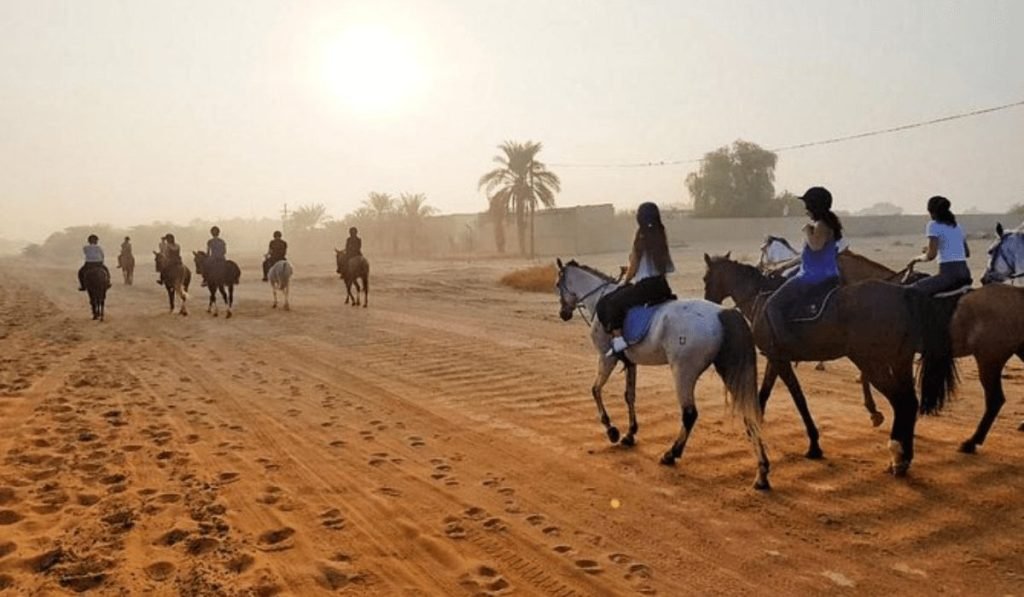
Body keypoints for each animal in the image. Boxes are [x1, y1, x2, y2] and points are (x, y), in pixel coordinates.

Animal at [552, 259, 770, 487]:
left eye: (558, 284)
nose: (563, 314)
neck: (599, 297)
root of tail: (724, 313)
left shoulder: (606, 358)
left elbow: (595, 390)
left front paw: (612, 430)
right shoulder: (630, 363)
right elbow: (629, 396)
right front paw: (630, 433)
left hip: (683, 372)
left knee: (690, 414)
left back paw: (671, 453)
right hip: (729, 370)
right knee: (748, 415)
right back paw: (762, 471)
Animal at [700, 253, 954, 477]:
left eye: (706, 278)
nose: (708, 304)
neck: (760, 298)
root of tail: (903, 294)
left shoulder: (779, 360)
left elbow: (798, 398)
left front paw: (813, 444)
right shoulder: (775, 358)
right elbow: (765, 395)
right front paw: (754, 428)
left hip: (871, 359)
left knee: (901, 402)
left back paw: (897, 456)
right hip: (899, 360)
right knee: (909, 402)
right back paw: (902, 458)